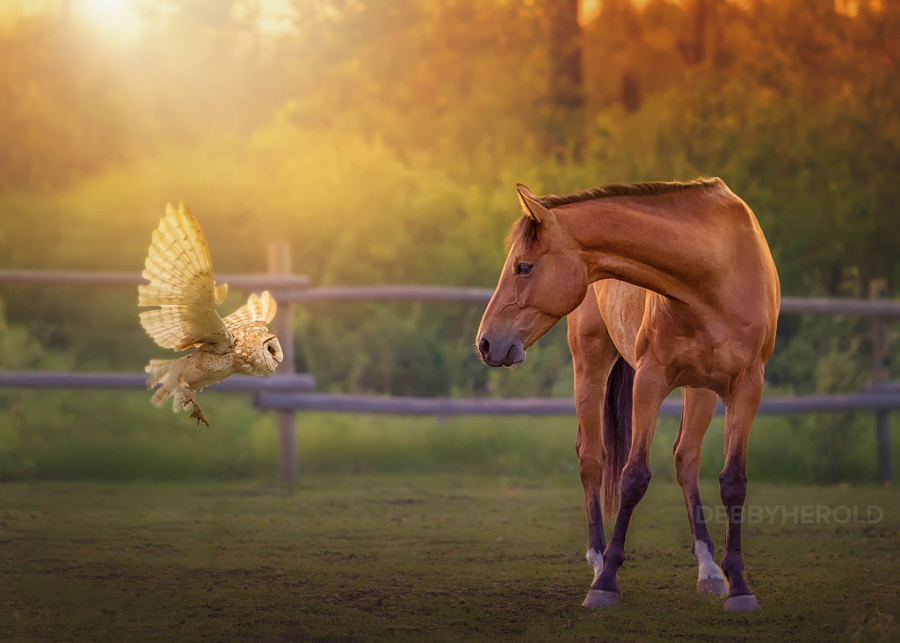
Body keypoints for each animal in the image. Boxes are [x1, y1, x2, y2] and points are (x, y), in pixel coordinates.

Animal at [476, 178, 779, 612]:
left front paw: (738, 586)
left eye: (523, 267)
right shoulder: (649, 381)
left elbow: (733, 481)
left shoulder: (747, 387)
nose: (485, 343)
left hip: (700, 389)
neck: (716, 274)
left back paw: (708, 571)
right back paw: (598, 560)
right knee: (592, 458)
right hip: (590, 365)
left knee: (686, 459)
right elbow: (633, 477)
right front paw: (605, 582)